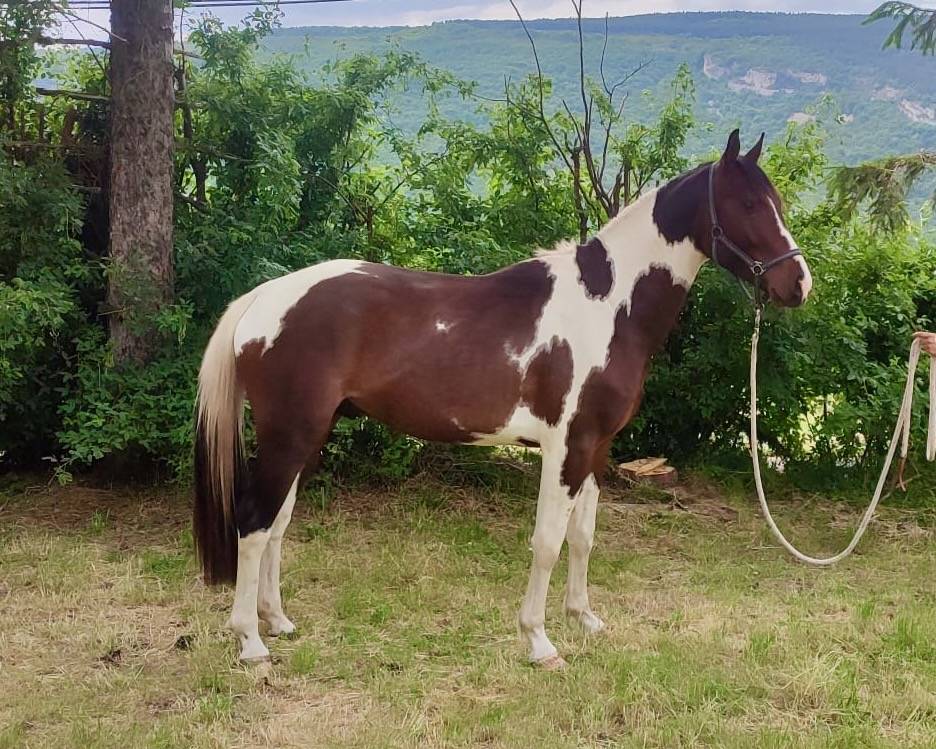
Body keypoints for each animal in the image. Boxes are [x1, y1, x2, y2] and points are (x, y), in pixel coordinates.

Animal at [193, 130, 812, 668]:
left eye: (776, 201)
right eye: (749, 203)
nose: (799, 284)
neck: (606, 306)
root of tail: (266, 295)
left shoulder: (596, 448)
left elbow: (583, 537)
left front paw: (584, 619)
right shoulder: (566, 448)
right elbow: (546, 542)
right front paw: (538, 640)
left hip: (308, 436)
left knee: (278, 523)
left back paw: (277, 620)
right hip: (289, 434)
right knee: (254, 521)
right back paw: (250, 642)